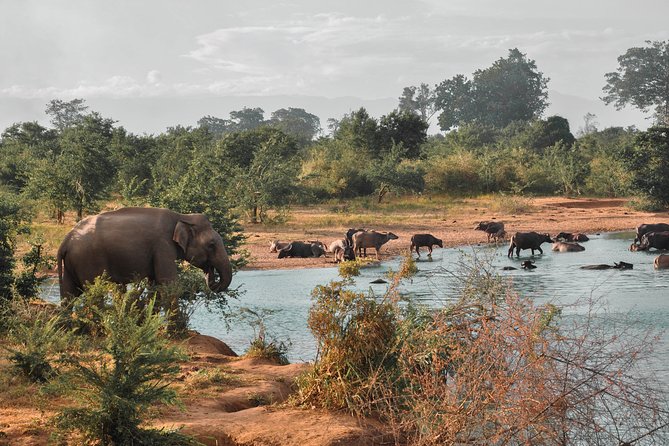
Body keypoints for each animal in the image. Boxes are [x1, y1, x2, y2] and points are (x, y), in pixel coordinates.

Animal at [57, 207, 233, 306]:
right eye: (211, 245)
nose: (212, 278)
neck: (182, 216)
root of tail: (66, 240)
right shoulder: (162, 245)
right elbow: (167, 282)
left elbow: (155, 284)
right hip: (88, 260)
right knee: (93, 291)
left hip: (73, 263)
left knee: (69, 293)